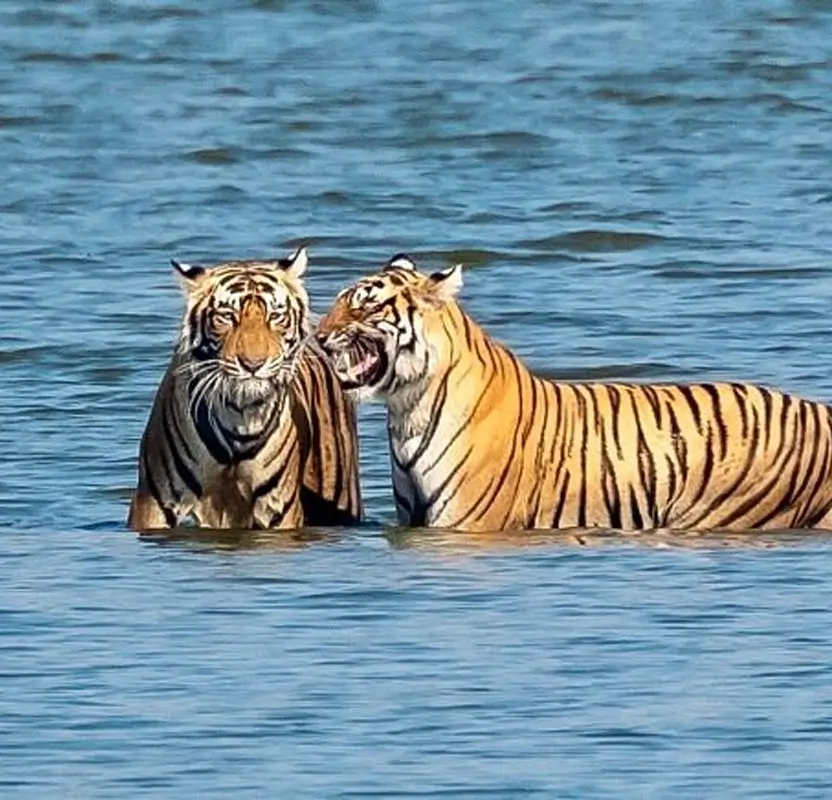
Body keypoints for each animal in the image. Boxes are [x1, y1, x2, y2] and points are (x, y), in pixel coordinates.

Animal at [128, 246, 362, 531]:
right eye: (227, 317)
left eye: (275, 316)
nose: (253, 364)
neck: (239, 417)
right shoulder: (153, 503)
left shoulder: (278, 508)